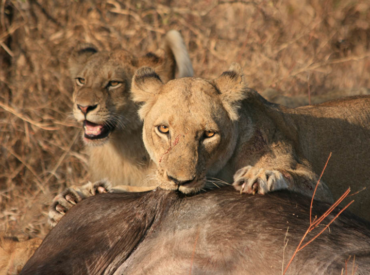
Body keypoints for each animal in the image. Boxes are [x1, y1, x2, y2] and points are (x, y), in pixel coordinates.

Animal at [129, 63, 370, 221]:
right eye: (163, 129)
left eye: (209, 134)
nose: (180, 181)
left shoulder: (323, 192)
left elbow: (291, 174)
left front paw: (260, 175)